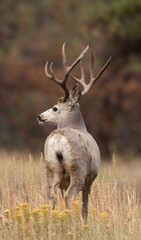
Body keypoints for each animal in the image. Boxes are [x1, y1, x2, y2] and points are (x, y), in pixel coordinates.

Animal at [37, 44, 111, 222]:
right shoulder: (90, 180)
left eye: (55, 108)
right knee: (70, 197)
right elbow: (85, 207)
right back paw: (73, 223)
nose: (40, 116)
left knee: (51, 196)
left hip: (51, 167)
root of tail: (59, 137)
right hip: (79, 169)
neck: (78, 126)